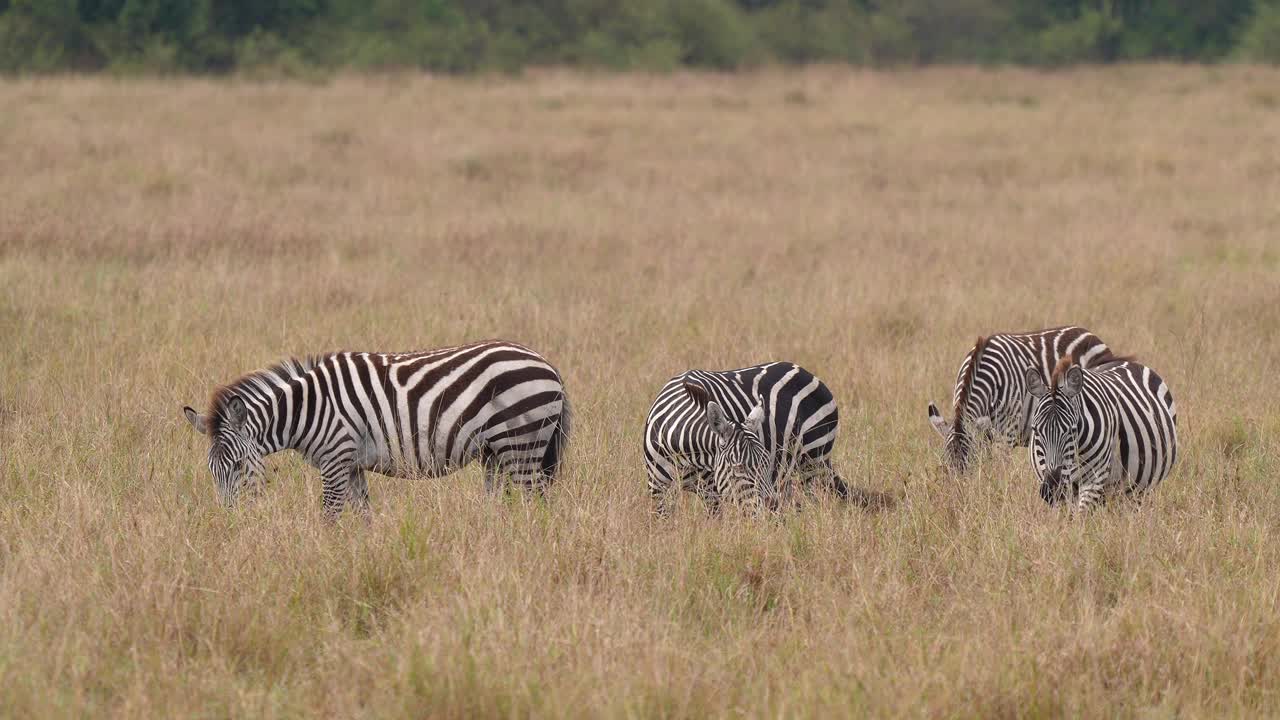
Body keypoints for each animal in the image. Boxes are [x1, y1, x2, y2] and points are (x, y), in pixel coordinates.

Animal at [181, 338, 570, 509]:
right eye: (212, 471)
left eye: (238, 465)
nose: (231, 520)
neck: (308, 408)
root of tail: (548, 364)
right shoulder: (351, 464)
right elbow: (362, 513)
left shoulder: (335, 459)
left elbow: (331, 514)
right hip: (496, 452)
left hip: (523, 443)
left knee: (536, 501)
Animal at [645, 361, 844, 512]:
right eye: (738, 467)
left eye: (766, 462)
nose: (772, 507)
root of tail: (804, 372)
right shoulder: (657, 490)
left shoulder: (712, 492)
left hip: (812, 460)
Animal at [1018, 356, 1177, 507]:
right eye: (1035, 430)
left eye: (1072, 430)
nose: (1052, 489)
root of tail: (1127, 362)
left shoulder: (1094, 481)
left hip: (1138, 488)